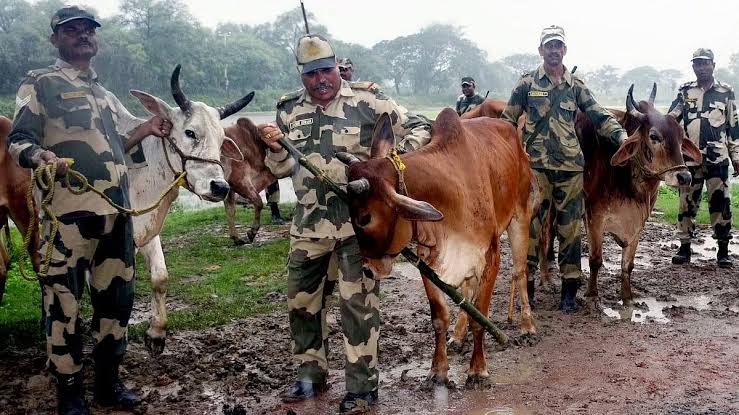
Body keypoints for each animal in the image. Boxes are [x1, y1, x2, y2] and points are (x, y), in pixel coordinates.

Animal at [342, 109, 536, 388]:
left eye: (365, 218)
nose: (369, 270)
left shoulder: (491, 256)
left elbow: (480, 316)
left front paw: (478, 370)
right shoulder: (428, 262)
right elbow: (439, 318)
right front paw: (438, 371)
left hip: (521, 216)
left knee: (519, 272)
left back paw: (527, 326)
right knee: (467, 291)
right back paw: (458, 336)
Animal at [540, 84, 704, 306]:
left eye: (680, 137)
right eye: (654, 136)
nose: (684, 177)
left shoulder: (639, 223)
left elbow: (628, 265)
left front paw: (627, 297)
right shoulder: (594, 217)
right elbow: (595, 259)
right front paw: (592, 294)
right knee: (546, 234)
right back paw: (546, 277)